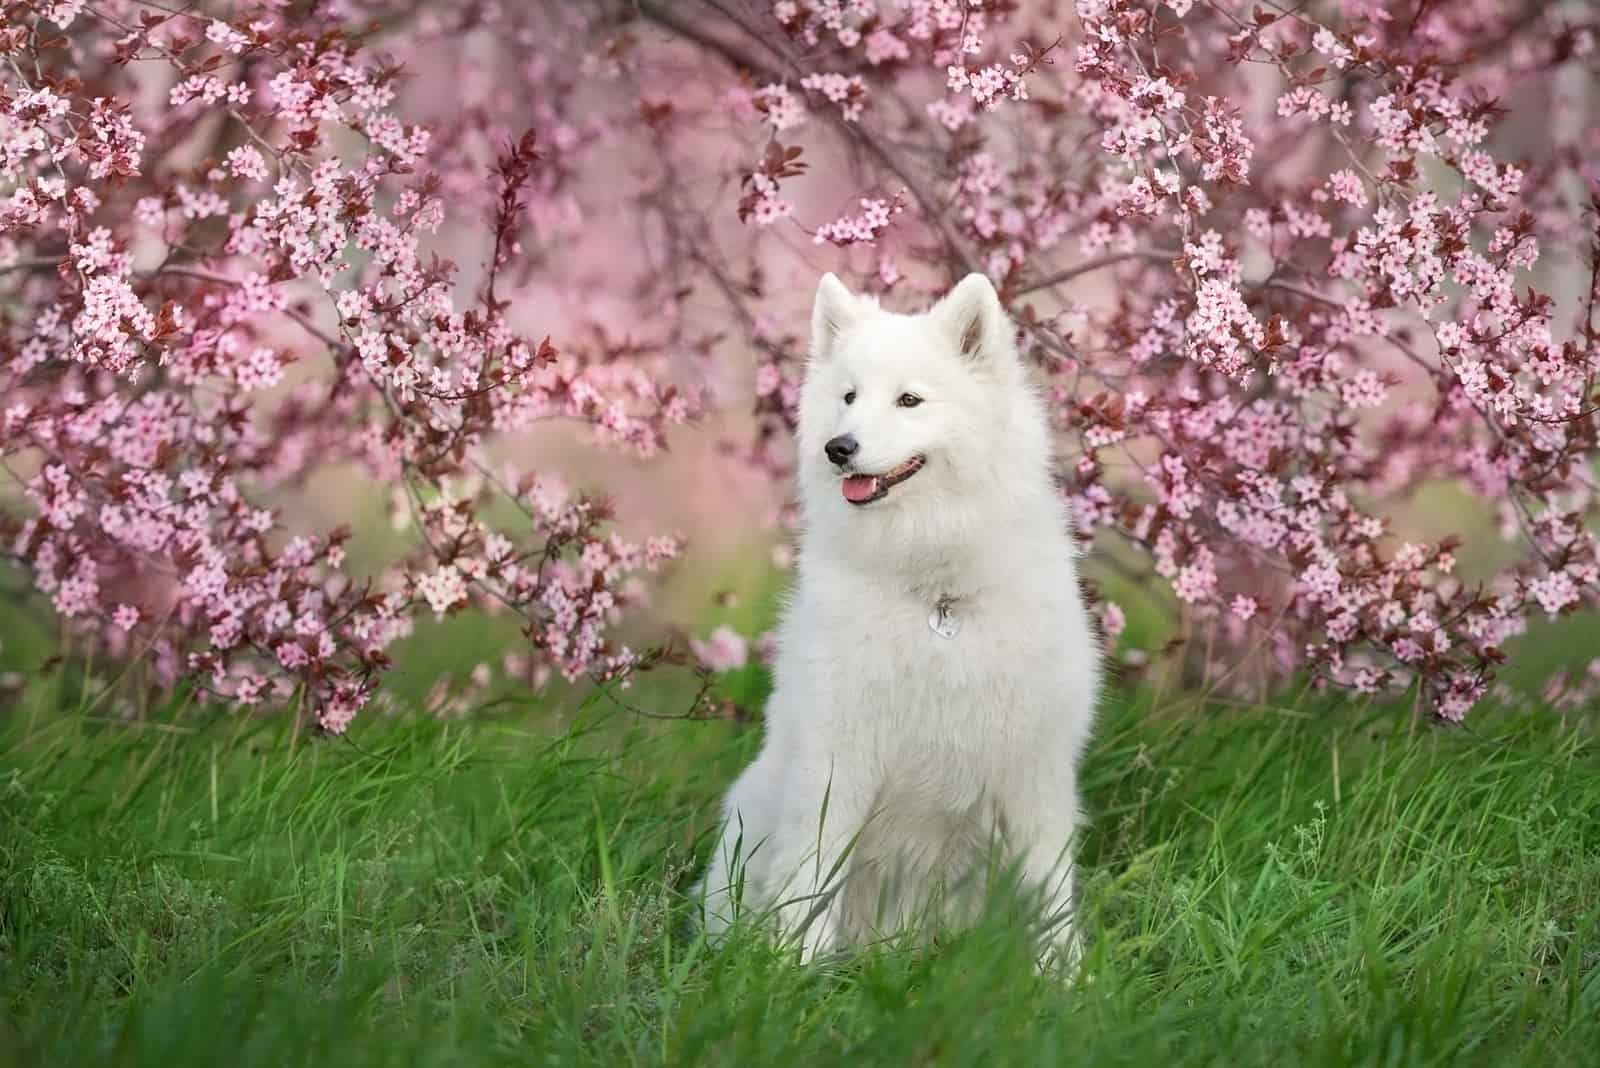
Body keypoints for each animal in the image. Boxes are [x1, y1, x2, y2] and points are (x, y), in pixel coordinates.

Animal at [697, 268, 1100, 965]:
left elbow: (1051, 891)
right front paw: (796, 971)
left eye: (909, 400)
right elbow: (812, 878)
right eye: (848, 397)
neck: (934, 593)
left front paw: (1064, 976)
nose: (839, 448)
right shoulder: (837, 762)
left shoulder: (1035, 774)